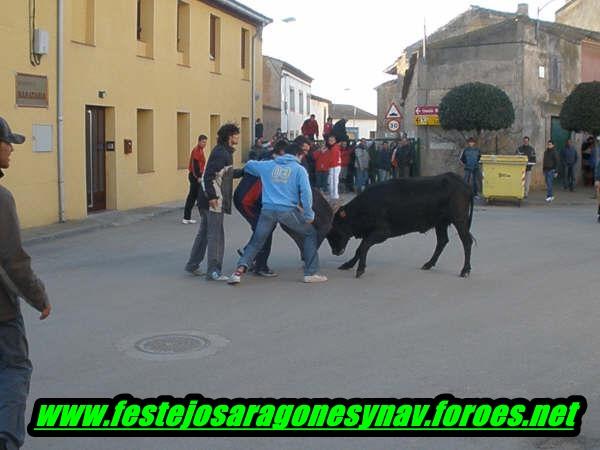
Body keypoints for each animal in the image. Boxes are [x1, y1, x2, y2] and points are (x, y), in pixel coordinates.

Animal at [326, 174, 476, 280]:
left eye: (335, 229)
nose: (335, 251)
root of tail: (464, 184)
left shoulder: (382, 232)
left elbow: (363, 247)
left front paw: (360, 269)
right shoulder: (370, 233)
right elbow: (360, 249)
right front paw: (348, 265)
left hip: (459, 220)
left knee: (466, 241)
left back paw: (465, 270)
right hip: (440, 223)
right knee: (442, 241)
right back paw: (428, 264)